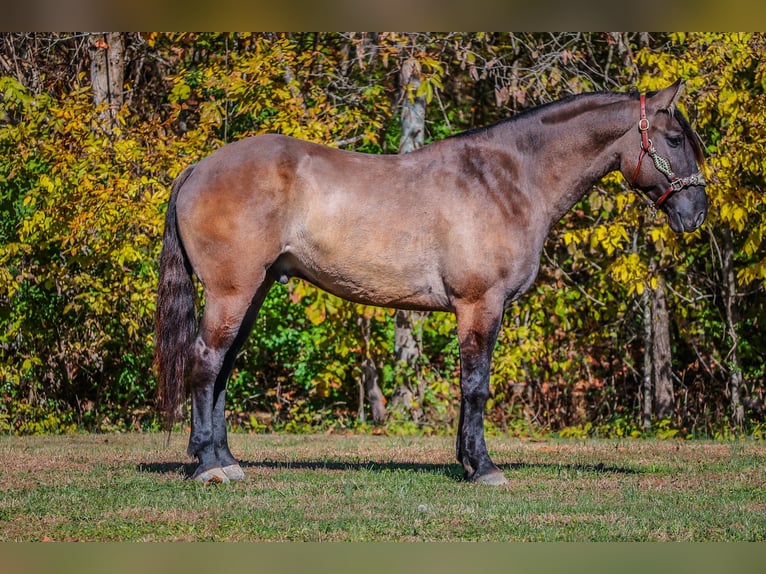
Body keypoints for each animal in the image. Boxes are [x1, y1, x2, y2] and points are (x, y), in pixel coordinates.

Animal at [154, 81, 708, 486]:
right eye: (674, 140)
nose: (696, 213)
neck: (508, 180)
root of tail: (198, 168)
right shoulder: (480, 304)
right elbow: (476, 385)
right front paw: (483, 468)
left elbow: (469, 386)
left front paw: (467, 460)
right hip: (232, 292)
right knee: (206, 361)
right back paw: (209, 467)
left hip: (254, 291)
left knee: (223, 368)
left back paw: (227, 460)